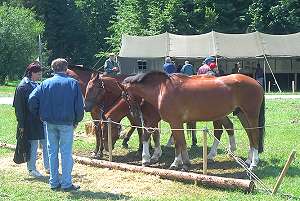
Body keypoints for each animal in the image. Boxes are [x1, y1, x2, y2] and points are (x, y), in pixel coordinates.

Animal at [122, 70, 264, 170]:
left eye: (125, 95)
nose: (134, 112)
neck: (162, 90)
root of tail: (256, 83)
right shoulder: (174, 123)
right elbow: (180, 142)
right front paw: (184, 163)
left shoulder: (174, 122)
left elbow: (178, 143)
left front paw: (176, 163)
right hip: (242, 115)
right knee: (249, 135)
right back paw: (248, 160)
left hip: (251, 115)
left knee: (255, 135)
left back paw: (254, 163)